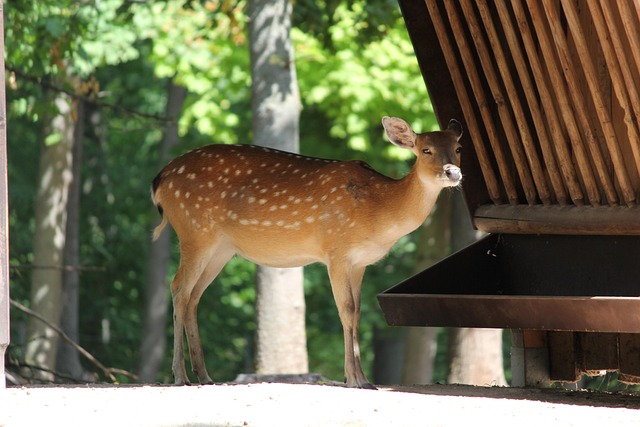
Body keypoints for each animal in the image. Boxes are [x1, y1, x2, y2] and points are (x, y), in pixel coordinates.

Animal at [151, 116, 463, 389]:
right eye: (425, 150)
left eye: (458, 148)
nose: (453, 172)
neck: (377, 209)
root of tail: (160, 179)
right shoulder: (337, 251)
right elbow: (346, 309)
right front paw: (355, 380)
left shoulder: (360, 262)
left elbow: (358, 312)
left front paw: (362, 378)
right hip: (194, 231)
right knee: (178, 288)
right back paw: (180, 375)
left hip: (221, 248)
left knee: (193, 295)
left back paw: (204, 375)